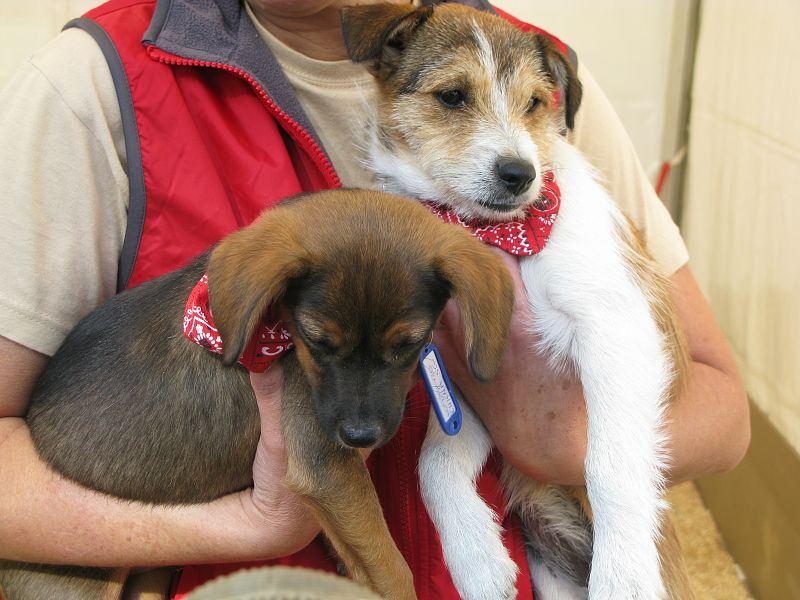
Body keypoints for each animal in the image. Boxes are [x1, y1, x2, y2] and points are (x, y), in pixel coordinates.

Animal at [0, 189, 512, 600]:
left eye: (409, 344)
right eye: (317, 342)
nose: (361, 436)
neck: (277, 328)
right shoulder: (325, 465)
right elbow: (392, 570)